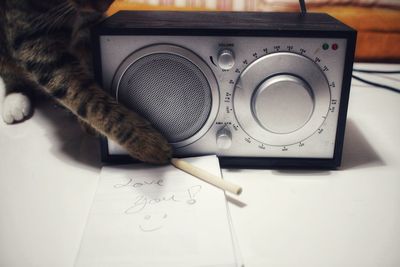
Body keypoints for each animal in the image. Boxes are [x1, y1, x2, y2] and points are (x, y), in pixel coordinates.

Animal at [0, 0, 172, 165]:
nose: (102, 8)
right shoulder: (33, 42)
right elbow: (86, 98)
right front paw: (147, 143)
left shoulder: (88, 29)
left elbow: (88, 68)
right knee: (10, 73)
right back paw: (14, 100)